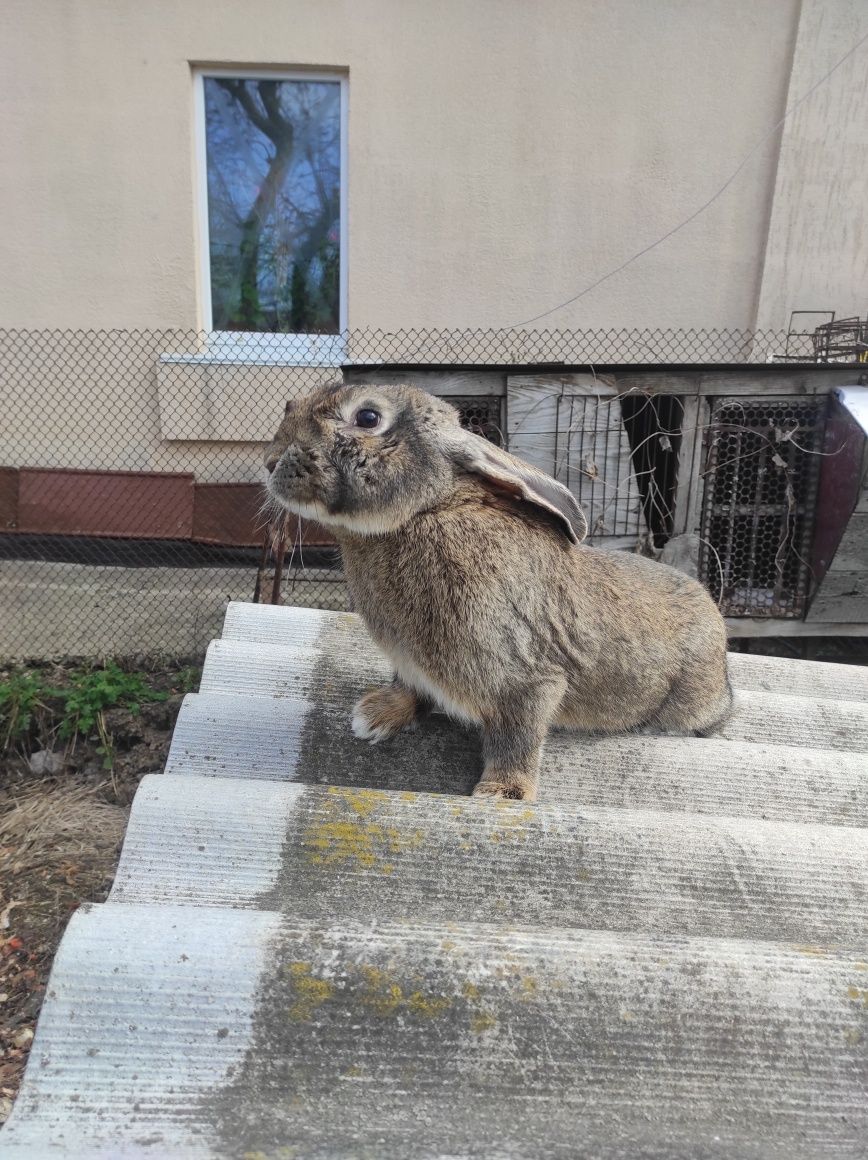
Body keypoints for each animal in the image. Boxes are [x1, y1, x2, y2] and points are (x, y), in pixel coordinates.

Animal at [264, 385, 733, 802]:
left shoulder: (526, 678)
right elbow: (409, 688)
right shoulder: (412, 665)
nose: (269, 462)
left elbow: (517, 736)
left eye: (367, 417)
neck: (427, 510)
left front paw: (502, 794)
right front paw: (374, 716)